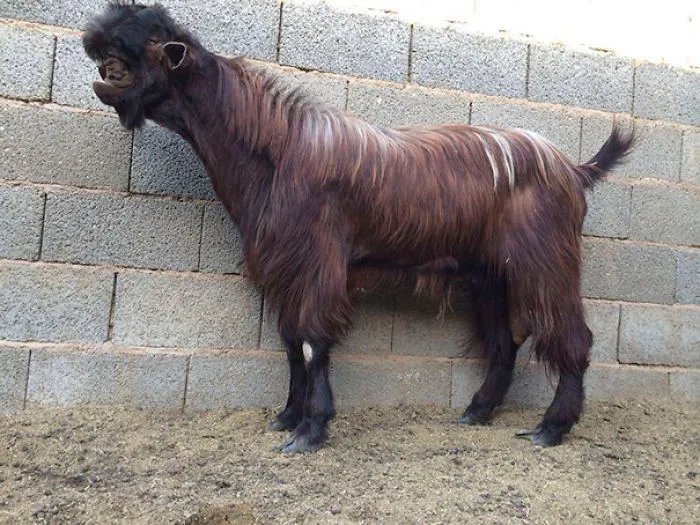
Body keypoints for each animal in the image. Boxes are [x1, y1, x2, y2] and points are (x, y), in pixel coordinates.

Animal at [83, 3, 633, 452]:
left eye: (148, 47)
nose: (105, 72)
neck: (276, 149)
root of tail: (573, 169)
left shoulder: (318, 259)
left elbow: (313, 341)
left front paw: (311, 430)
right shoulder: (285, 265)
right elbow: (290, 343)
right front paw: (287, 416)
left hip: (547, 260)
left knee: (572, 334)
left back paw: (551, 428)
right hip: (491, 275)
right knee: (504, 342)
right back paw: (476, 413)